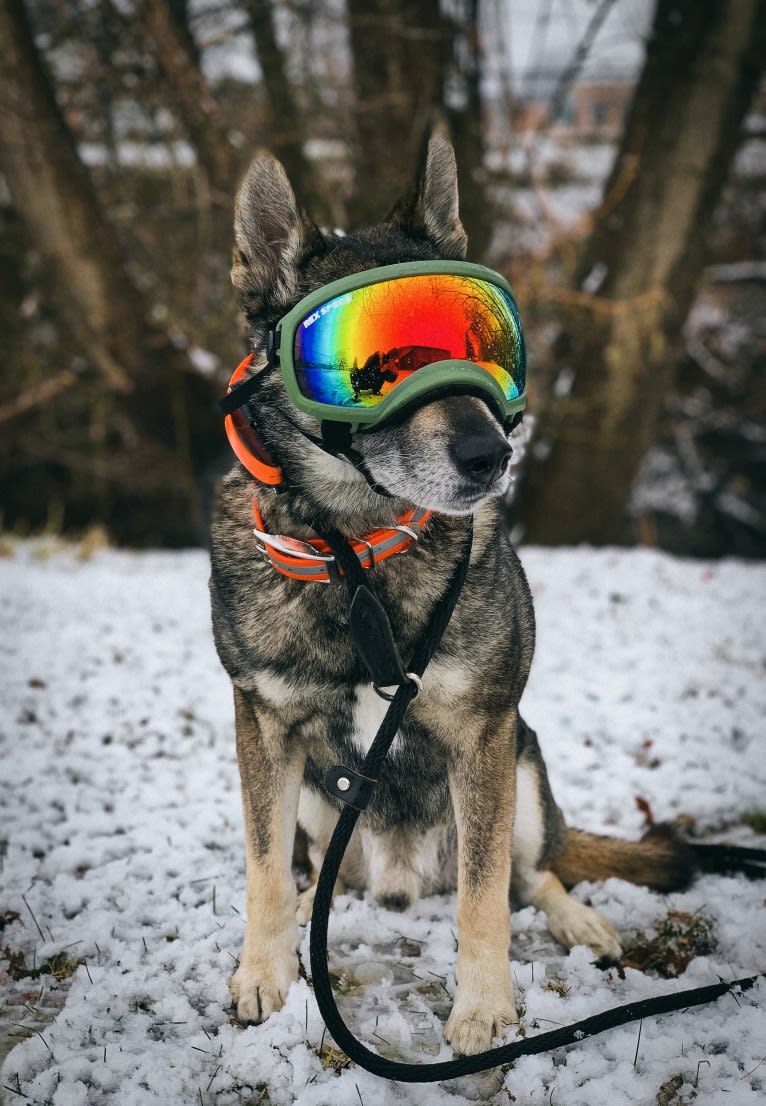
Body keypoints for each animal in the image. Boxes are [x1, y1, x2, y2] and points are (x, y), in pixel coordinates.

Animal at [208, 127, 711, 1052]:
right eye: (365, 369)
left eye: (483, 346)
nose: (492, 456)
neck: (360, 557)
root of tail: (402, 881)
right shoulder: (264, 726)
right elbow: (263, 868)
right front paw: (264, 972)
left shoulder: (484, 735)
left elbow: (484, 897)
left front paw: (483, 1009)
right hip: (320, 803)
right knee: (315, 873)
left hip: (526, 764)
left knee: (531, 875)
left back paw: (580, 920)